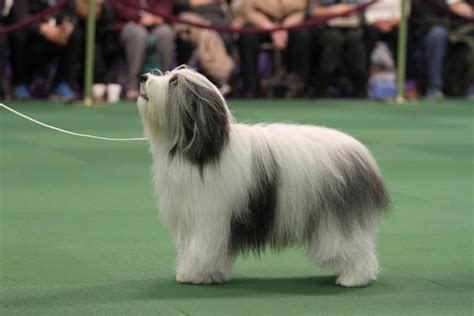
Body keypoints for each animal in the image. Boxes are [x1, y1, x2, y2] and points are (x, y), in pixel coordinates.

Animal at [138, 67, 388, 288]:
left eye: (174, 82)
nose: (143, 77)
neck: (203, 149)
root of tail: (362, 154)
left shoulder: (209, 218)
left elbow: (203, 248)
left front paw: (197, 274)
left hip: (336, 215)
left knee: (353, 247)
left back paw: (354, 278)